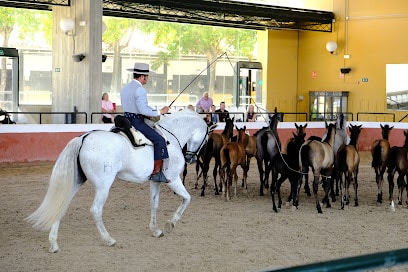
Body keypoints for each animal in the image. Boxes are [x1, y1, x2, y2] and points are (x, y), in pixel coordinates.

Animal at [26, 109, 210, 252]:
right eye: (207, 139)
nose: (191, 158)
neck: (171, 135)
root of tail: (84, 138)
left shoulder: (155, 181)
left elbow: (154, 204)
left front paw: (155, 230)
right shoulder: (173, 180)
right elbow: (186, 199)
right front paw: (170, 224)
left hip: (76, 182)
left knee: (61, 205)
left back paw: (54, 244)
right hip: (103, 187)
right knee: (95, 210)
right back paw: (109, 239)